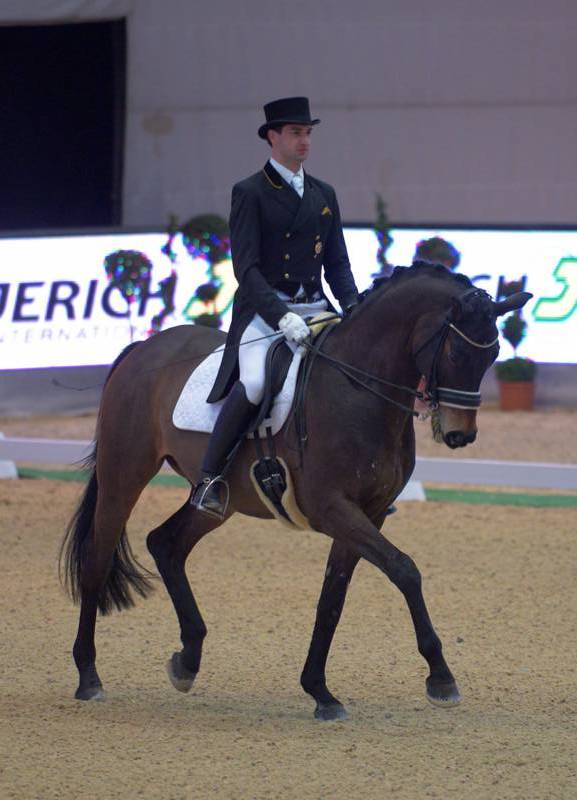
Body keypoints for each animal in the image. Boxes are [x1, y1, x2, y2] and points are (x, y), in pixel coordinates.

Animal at [59, 262, 532, 720]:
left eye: (492, 355)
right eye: (455, 351)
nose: (459, 435)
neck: (359, 389)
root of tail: (142, 348)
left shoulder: (370, 511)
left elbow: (332, 598)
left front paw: (320, 691)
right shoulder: (332, 507)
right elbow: (404, 570)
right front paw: (441, 679)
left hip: (220, 501)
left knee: (166, 544)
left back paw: (187, 660)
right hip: (124, 474)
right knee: (97, 559)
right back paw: (88, 676)